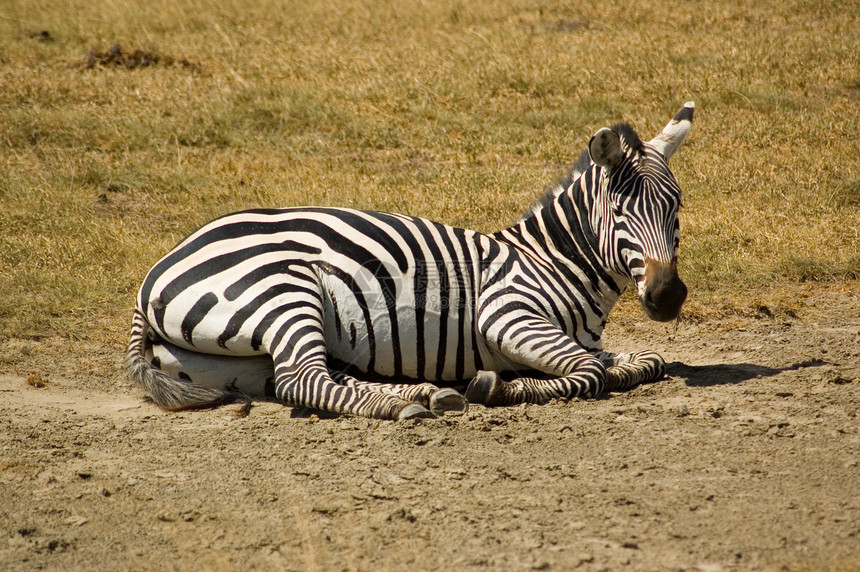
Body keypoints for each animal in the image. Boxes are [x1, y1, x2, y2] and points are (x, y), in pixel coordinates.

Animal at [126, 101, 692, 420]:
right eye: (620, 212)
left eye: (677, 205)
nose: (668, 297)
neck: (551, 261)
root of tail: (159, 266)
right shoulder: (506, 315)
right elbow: (591, 373)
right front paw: (503, 388)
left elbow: (643, 360)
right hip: (284, 290)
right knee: (302, 380)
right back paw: (402, 403)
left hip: (231, 361)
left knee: (312, 377)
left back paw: (425, 391)